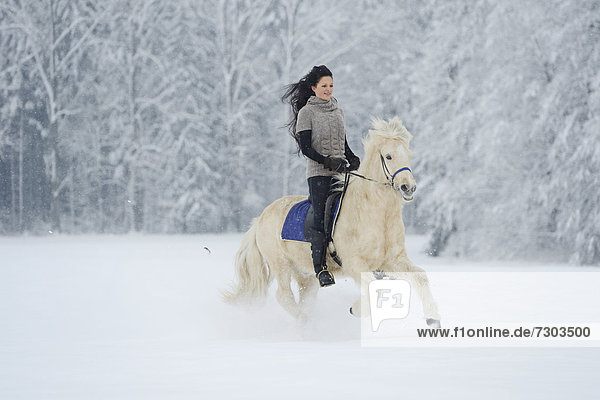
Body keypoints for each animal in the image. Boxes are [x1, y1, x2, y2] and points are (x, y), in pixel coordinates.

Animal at [225, 116, 440, 328]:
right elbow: (374, 286)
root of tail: (260, 218)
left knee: (304, 298)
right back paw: (306, 324)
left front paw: (433, 320)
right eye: (388, 156)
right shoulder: (355, 262)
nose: (408, 188)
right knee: (284, 296)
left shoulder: (393, 260)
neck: (378, 216)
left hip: (305, 275)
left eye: (409, 154)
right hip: (281, 263)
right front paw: (357, 309)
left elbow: (420, 277)